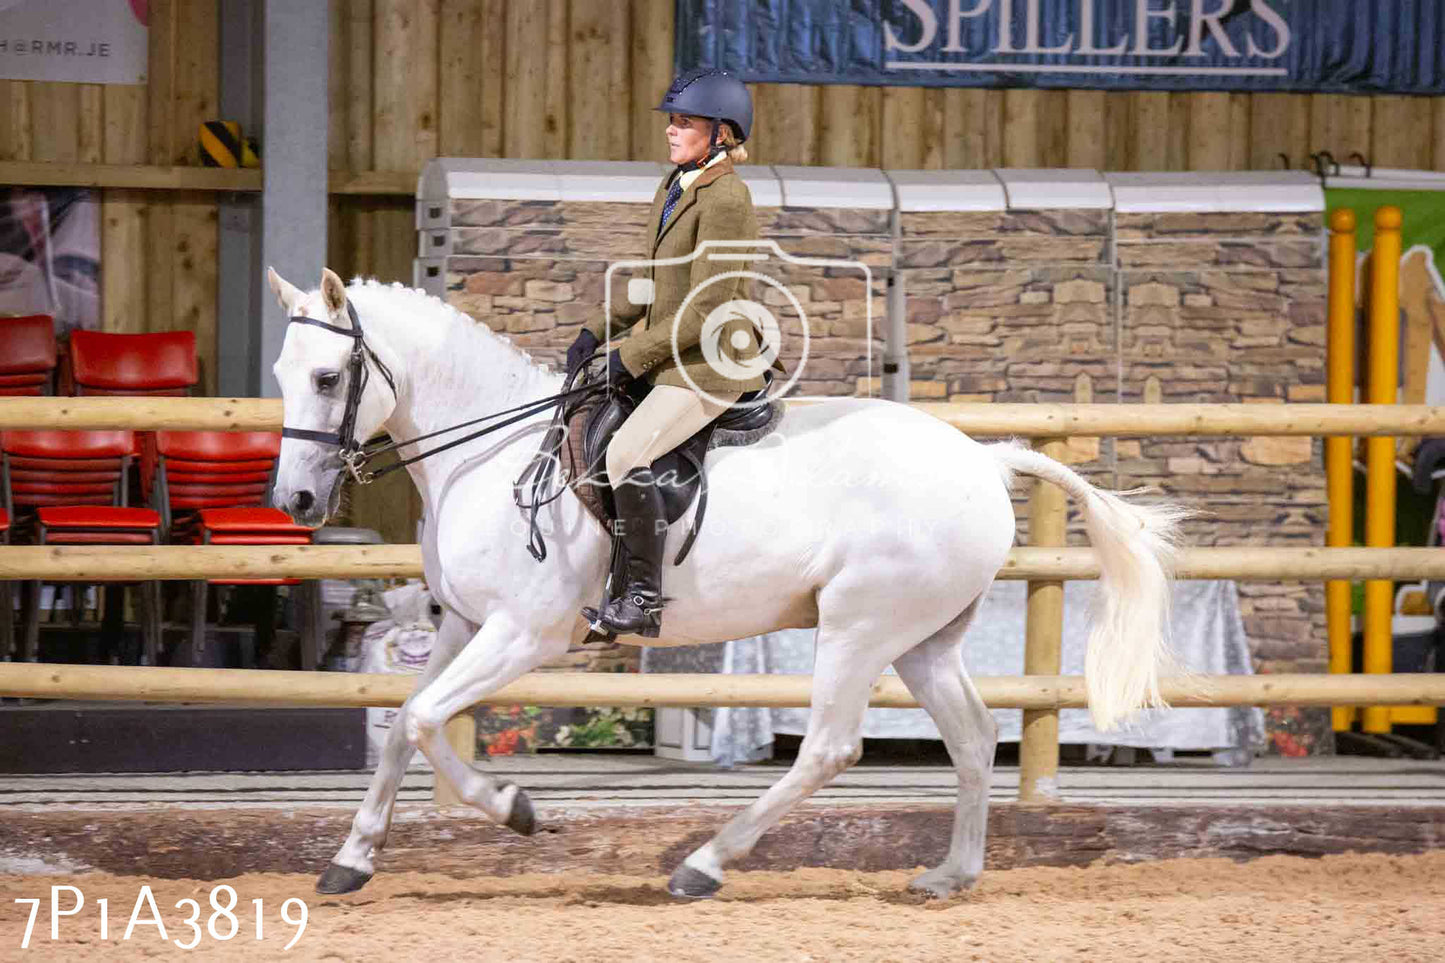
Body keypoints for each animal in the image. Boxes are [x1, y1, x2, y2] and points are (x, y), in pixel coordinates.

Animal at [265, 266, 1179, 896]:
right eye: (280, 372)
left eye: (326, 378)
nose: (297, 500)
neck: (489, 451)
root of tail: (982, 460)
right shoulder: (461, 622)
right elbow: (403, 727)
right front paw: (351, 859)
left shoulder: (523, 633)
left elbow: (424, 719)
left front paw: (514, 807)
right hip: (922, 639)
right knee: (972, 734)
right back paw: (950, 873)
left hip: (858, 627)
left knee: (829, 746)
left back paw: (703, 862)